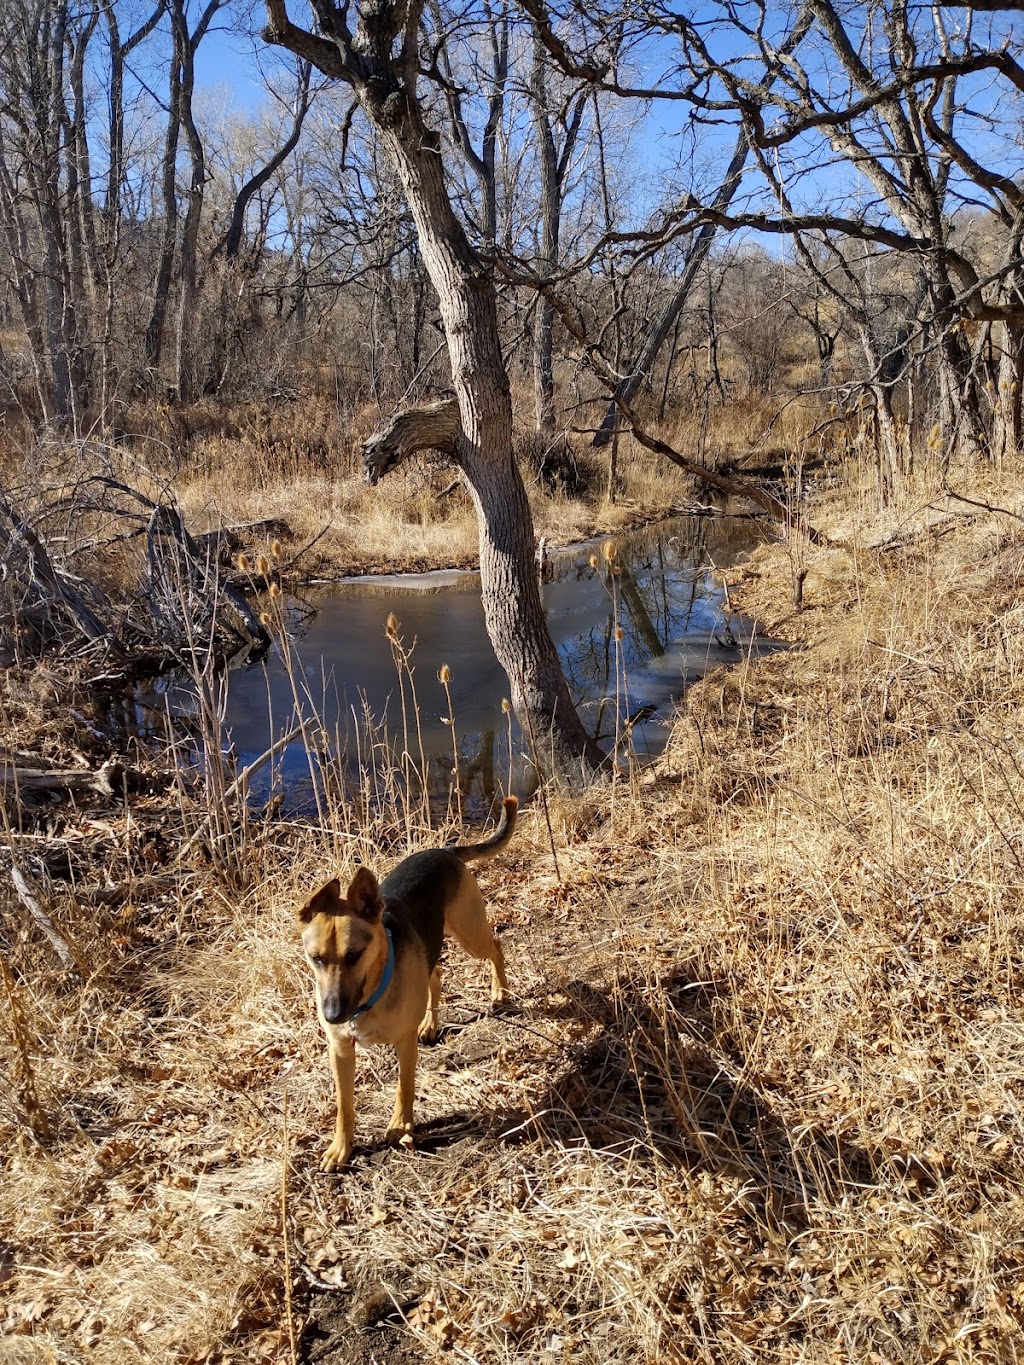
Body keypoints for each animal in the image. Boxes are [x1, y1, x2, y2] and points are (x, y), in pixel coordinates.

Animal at [300, 797, 516, 1173]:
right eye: (316, 958)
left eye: (354, 955)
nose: (333, 1015)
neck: (370, 997)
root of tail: (445, 851)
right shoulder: (340, 1050)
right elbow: (344, 1106)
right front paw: (341, 1148)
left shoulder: (403, 1043)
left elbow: (404, 1087)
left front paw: (401, 1125)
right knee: (436, 975)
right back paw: (431, 1023)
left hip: (470, 933)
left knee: (496, 948)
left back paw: (499, 991)